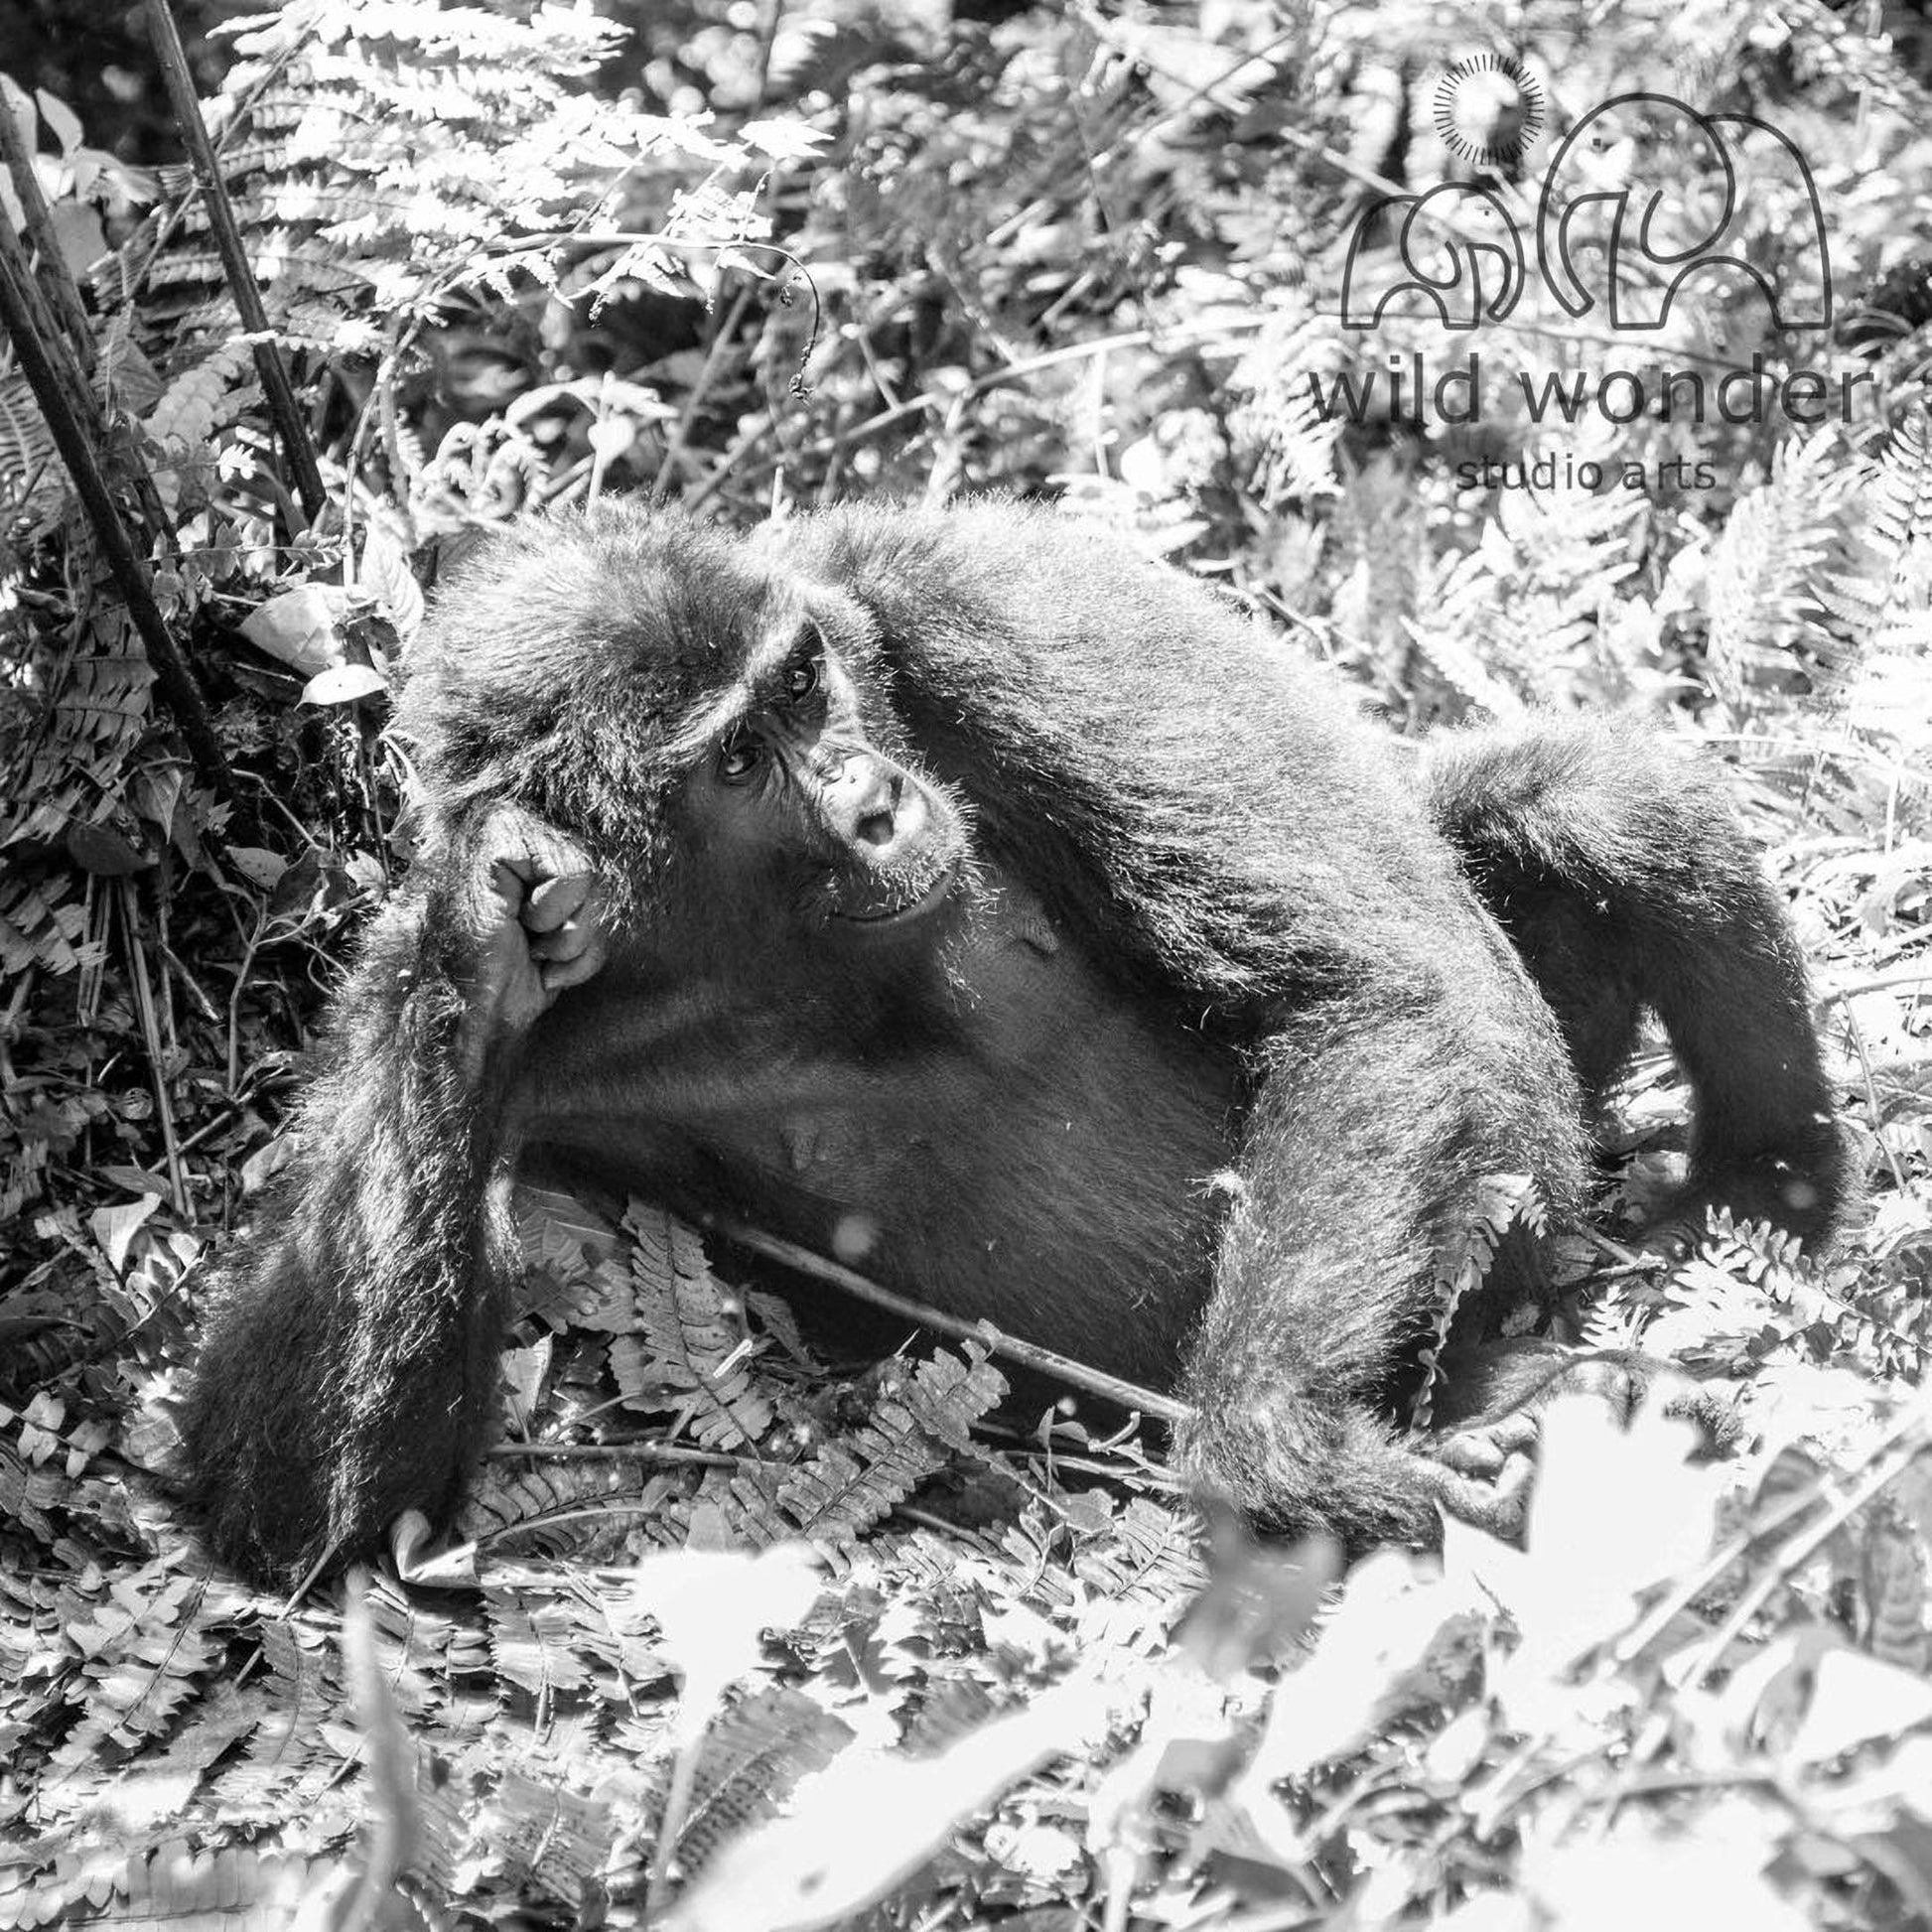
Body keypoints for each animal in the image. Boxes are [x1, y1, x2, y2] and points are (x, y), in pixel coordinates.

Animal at [175, 500, 1846, 1588]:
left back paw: (1761, 1189)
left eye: (802, 688)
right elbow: (297, 1515)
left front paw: (1280, 1445)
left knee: (1576, 806)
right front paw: (481, 908)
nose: (869, 801)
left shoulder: (983, 596)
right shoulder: (502, 1016)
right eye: (740, 758)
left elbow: (1364, 996)